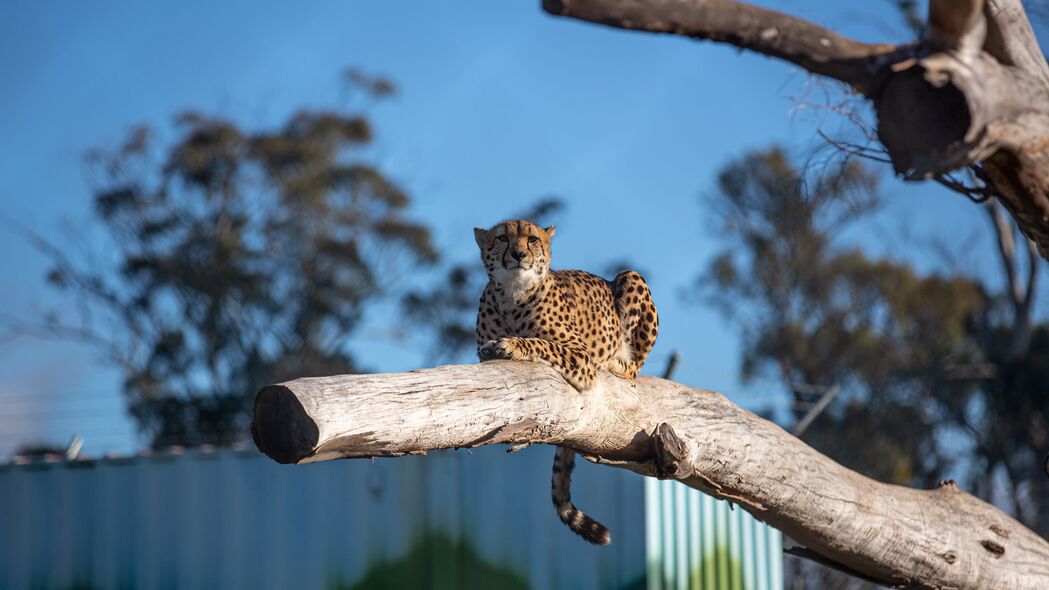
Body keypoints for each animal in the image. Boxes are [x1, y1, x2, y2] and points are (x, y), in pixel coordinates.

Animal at [474, 217, 654, 541]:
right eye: (503, 238)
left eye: (532, 239)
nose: (519, 255)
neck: (511, 294)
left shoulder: (581, 356)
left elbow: (541, 344)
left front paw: (512, 345)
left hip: (630, 277)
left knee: (634, 367)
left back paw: (617, 362)